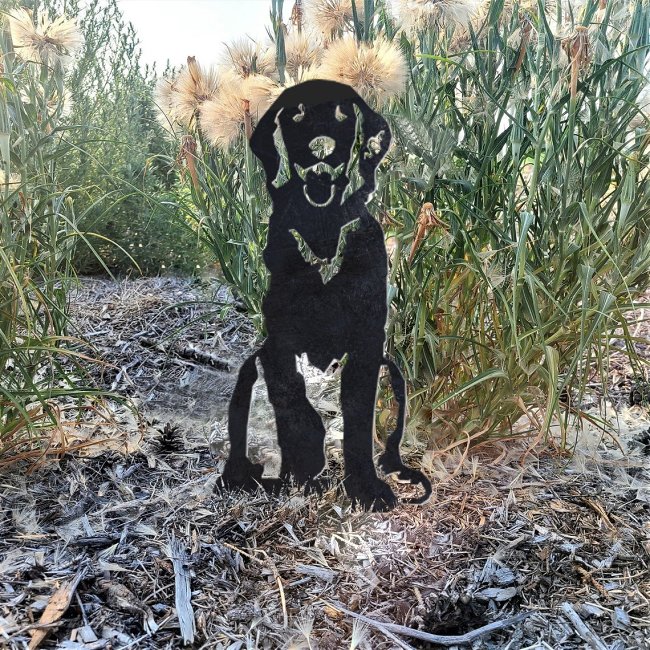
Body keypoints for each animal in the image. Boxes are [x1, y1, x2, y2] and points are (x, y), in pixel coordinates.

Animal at [223, 78, 430, 508]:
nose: (321, 147)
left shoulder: (367, 348)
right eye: (296, 115)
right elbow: (296, 407)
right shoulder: (278, 345)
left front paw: (365, 487)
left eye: (342, 114)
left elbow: (357, 426)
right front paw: (306, 468)